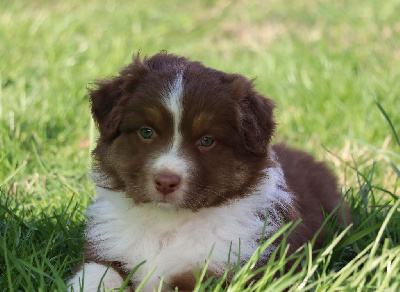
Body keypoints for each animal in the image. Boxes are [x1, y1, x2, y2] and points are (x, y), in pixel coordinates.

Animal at [68, 53, 350, 292]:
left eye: (206, 141)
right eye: (146, 132)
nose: (166, 182)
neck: (168, 224)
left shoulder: (225, 268)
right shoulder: (107, 250)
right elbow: (95, 274)